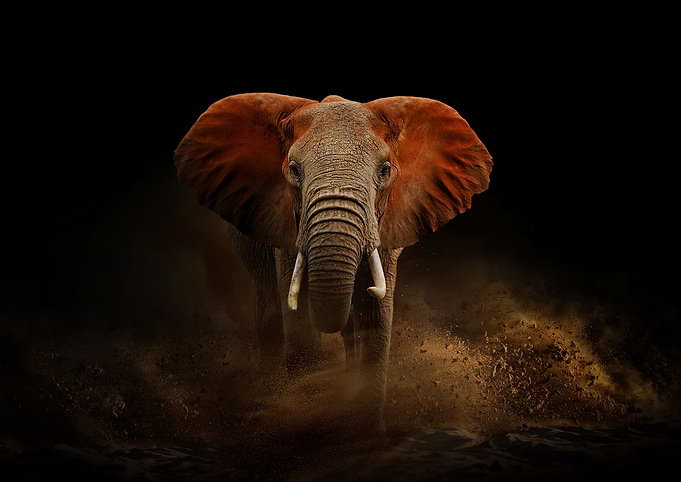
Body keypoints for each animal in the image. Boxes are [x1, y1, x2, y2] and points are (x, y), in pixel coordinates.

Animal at [174, 93, 492, 442]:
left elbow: (375, 320)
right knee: (269, 317)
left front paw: (365, 436)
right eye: (294, 170)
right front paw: (305, 428)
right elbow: (300, 320)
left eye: (385, 170)